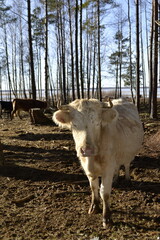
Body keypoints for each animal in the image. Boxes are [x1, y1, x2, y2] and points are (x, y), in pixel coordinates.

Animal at [52, 98, 144, 229]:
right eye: (74, 125)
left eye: (97, 123)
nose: (87, 150)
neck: (92, 160)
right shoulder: (88, 169)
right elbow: (93, 187)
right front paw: (94, 207)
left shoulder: (108, 168)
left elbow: (104, 193)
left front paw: (107, 218)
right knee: (117, 167)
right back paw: (116, 179)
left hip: (128, 154)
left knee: (126, 164)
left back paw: (127, 179)